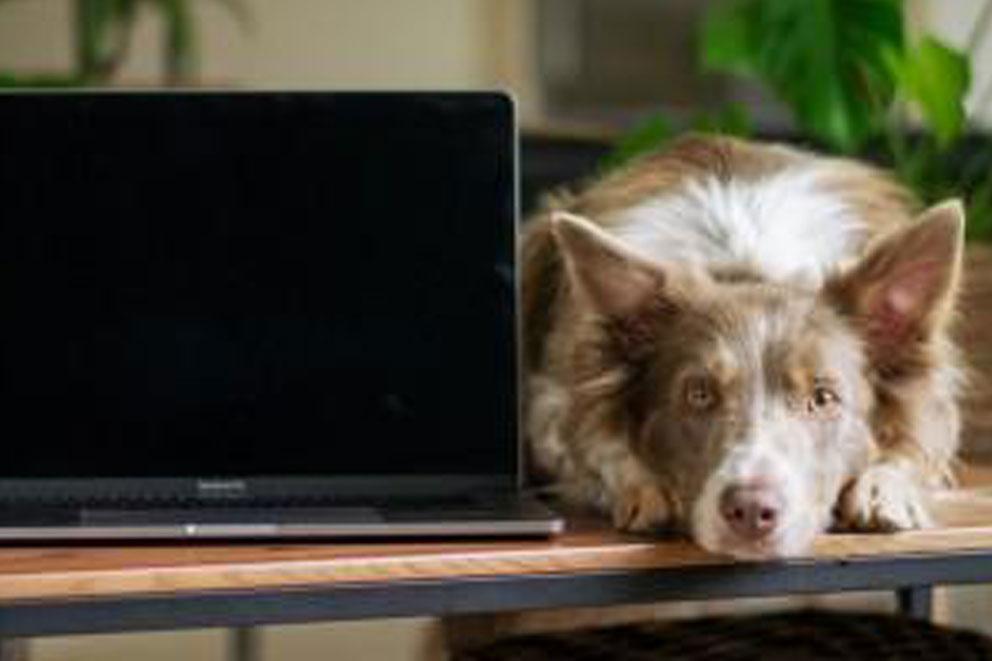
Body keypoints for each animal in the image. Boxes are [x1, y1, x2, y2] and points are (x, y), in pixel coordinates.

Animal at [524, 134, 964, 556]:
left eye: (823, 398)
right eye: (699, 394)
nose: (752, 511)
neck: (746, 270)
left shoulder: (936, 403)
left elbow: (918, 443)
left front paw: (884, 488)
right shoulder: (555, 401)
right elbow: (596, 443)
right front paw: (644, 486)